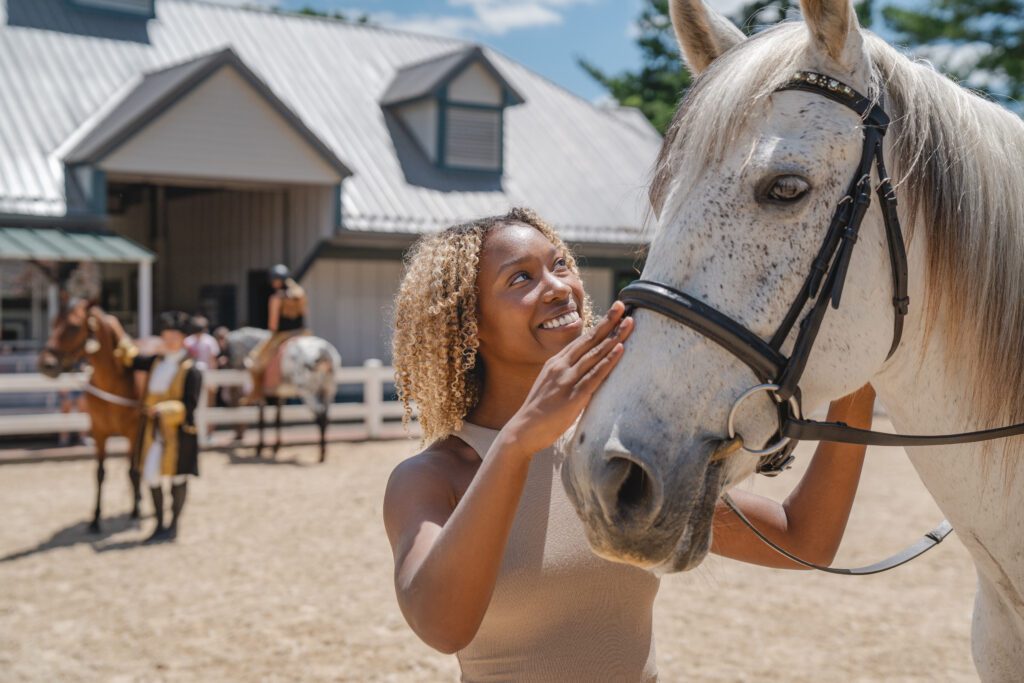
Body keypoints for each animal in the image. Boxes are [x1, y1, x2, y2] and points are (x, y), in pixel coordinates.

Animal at [39, 301, 143, 532]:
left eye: (74, 326)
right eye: (53, 323)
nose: (46, 364)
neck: (112, 382)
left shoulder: (133, 433)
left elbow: (131, 471)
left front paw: (135, 513)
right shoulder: (99, 431)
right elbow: (99, 473)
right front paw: (95, 520)